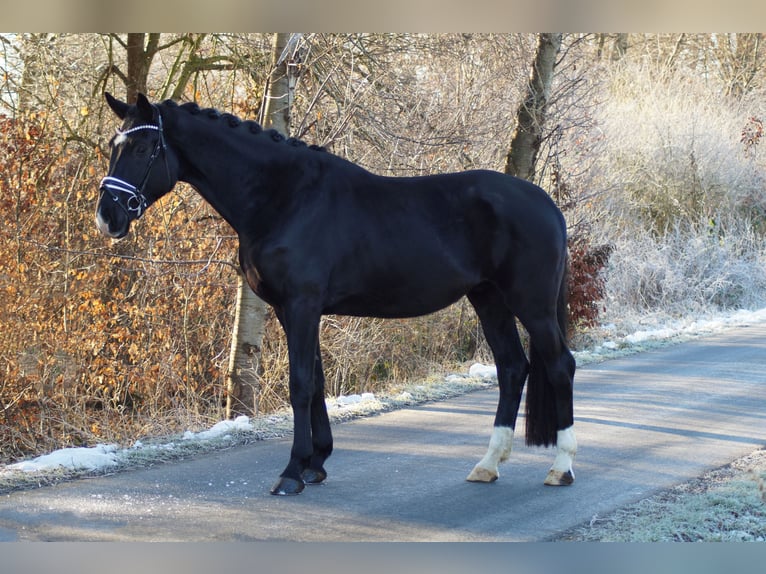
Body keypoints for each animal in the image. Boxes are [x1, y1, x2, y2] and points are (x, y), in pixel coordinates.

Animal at [96, 92, 576, 498]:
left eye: (142, 149)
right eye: (112, 145)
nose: (107, 217)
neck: (284, 197)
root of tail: (546, 204)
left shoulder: (302, 305)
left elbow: (300, 385)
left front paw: (292, 472)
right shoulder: (292, 310)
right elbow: (317, 381)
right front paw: (316, 463)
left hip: (531, 305)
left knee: (558, 366)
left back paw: (561, 467)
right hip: (488, 299)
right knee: (512, 368)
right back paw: (488, 464)